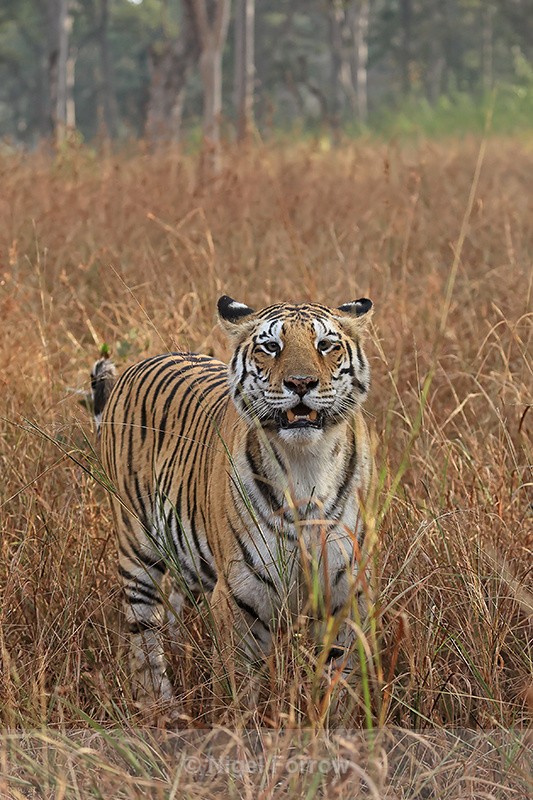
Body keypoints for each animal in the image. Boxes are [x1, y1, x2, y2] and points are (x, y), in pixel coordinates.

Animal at [91, 295, 375, 703]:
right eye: (271, 347)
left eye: (325, 345)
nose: (301, 383)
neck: (305, 466)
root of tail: (142, 363)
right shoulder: (241, 598)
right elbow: (243, 690)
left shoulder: (345, 595)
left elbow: (341, 686)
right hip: (136, 551)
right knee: (144, 641)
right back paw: (161, 707)